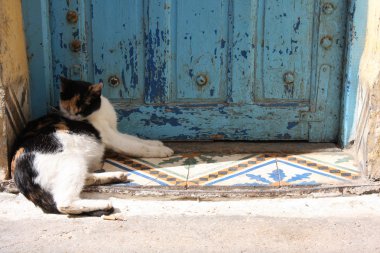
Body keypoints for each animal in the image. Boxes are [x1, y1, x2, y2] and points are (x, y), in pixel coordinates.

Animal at [10, 77, 174, 215]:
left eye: (82, 107)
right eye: (67, 109)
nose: (72, 118)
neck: (100, 111)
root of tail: (17, 171)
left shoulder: (115, 132)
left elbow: (136, 139)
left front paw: (155, 143)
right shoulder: (112, 137)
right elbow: (137, 147)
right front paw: (161, 151)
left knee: (85, 179)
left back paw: (114, 176)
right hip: (71, 161)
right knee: (64, 203)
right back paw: (103, 204)